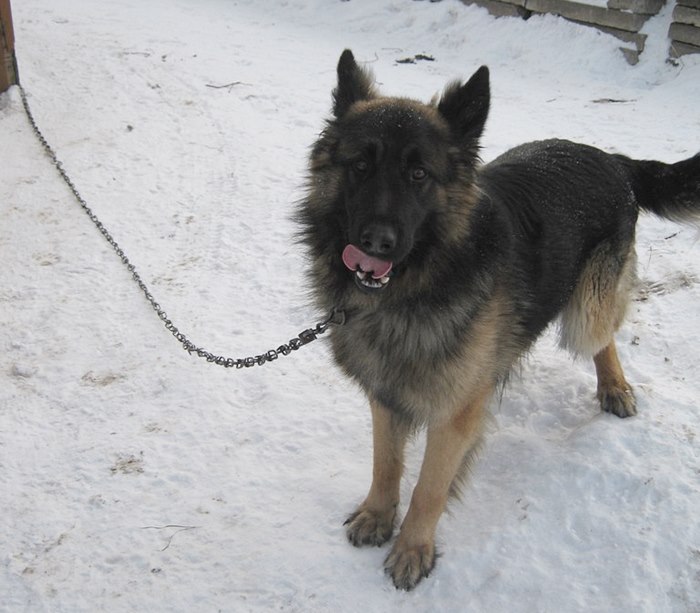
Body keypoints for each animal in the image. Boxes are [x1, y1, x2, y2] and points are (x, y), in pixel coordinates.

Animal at [296, 49, 700, 590]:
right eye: (360, 166)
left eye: (419, 175)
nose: (374, 244)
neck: (416, 287)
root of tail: (614, 159)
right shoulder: (386, 391)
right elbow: (386, 462)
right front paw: (378, 516)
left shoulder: (456, 413)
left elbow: (429, 487)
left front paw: (413, 549)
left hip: (585, 313)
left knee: (603, 335)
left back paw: (615, 387)